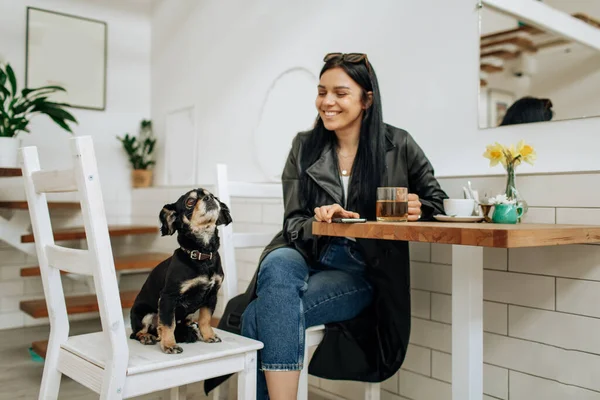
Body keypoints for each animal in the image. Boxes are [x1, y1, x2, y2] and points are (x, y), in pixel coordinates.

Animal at [129, 188, 232, 354]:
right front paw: (169, 345)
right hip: (145, 314)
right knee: (139, 332)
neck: (201, 256)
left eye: (213, 196)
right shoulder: (168, 298)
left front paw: (209, 336)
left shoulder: (211, 295)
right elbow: (168, 324)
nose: (209, 198)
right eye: (190, 202)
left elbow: (205, 319)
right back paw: (147, 337)